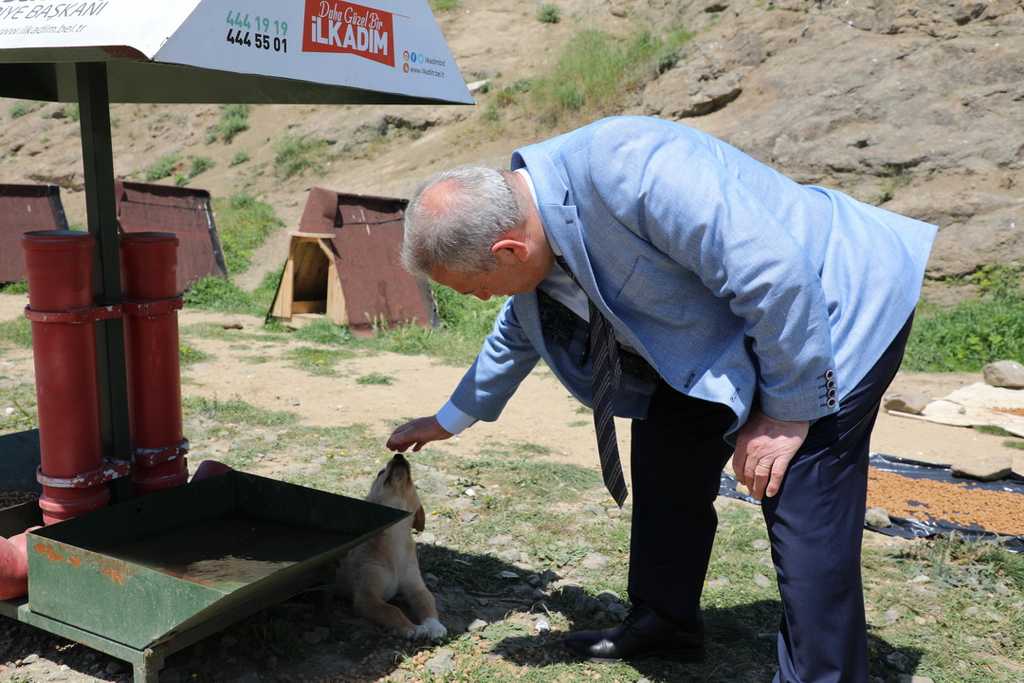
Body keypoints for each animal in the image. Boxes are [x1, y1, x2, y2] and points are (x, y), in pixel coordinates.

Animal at [337, 454, 446, 643]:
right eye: (380, 472)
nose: (399, 455)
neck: (396, 536)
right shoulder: (367, 598)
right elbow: (392, 610)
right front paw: (411, 628)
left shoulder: (416, 587)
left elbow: (428, 601)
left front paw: (434, 626)